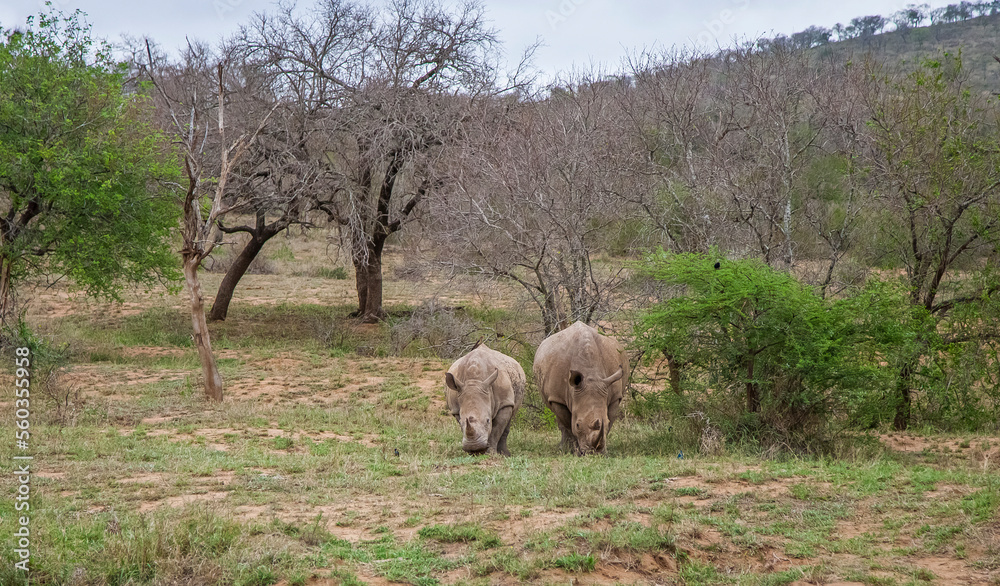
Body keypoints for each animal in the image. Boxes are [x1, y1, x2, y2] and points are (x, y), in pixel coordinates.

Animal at [533, 321, 628, 456]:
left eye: (607, 422)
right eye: (578, 425)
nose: (593, 452)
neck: (590, 375)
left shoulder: (614, 394)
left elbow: (610, 420)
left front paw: (604, 451)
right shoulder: (557, 398)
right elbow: (568, 423)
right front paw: (574, 450)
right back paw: (563, 448)